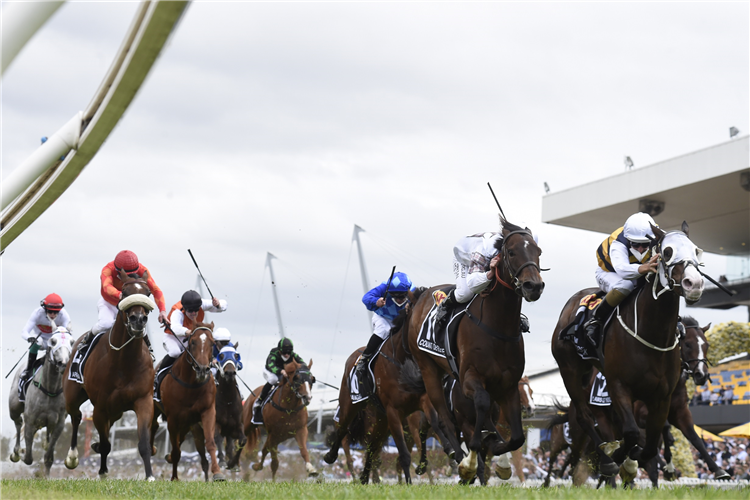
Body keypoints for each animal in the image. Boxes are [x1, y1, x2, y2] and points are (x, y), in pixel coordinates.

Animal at [9, 328, 74, 476]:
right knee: (17, 422)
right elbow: (28, 458)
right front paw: (22, 454)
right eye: (53, 341)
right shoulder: (30, 420)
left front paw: (45, 476)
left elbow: (49, 457)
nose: (63, 363)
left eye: (72, 342)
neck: (50, 388)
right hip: (14, 409)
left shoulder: (58, 424)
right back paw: (16, 453)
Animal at [64, 272, 157, 478]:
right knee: (76, 416)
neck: (125, 361)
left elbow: (143, 442)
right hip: (72, 396)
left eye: (148, 293)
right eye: (124, 292)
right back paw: (72, 456)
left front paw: (150, 476)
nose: (138, 319)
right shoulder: (100, 407)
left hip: (116, 409)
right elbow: (106, 444)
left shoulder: (143, 401)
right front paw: (103, 472)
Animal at [151, 322, 225, 482]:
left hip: (189, 423)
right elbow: (176, 450)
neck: (191, 384)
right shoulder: (173, 418)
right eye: (192, 342)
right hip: (156, 408)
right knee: (153, 426)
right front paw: (174, 477)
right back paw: (152, 449)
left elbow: (210, 443)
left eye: (212, 343)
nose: (202, 369)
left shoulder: (208, 411)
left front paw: (218, 473)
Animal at [408, 220, 544, 484]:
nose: (534, 286)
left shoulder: (508, 386)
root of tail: (422, 296)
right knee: (443, 418)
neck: (497, 328)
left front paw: (500, 458)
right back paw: (459, 458)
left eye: (538, 252)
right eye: (512, 252)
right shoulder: (470, 377)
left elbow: (516, 437)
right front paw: (470, 462)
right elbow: (480, 407)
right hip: (428, 370)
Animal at [552, 222, 704, 480]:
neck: (652, 335)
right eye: (667, 252)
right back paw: (606, 460)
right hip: (569, 369)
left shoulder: (662, 397)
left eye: (696, 250)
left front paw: (645, 460)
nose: (693, 284)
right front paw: (620, 457)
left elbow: (653, 441)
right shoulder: (618, 385)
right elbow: (631, 433)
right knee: (583, 418)